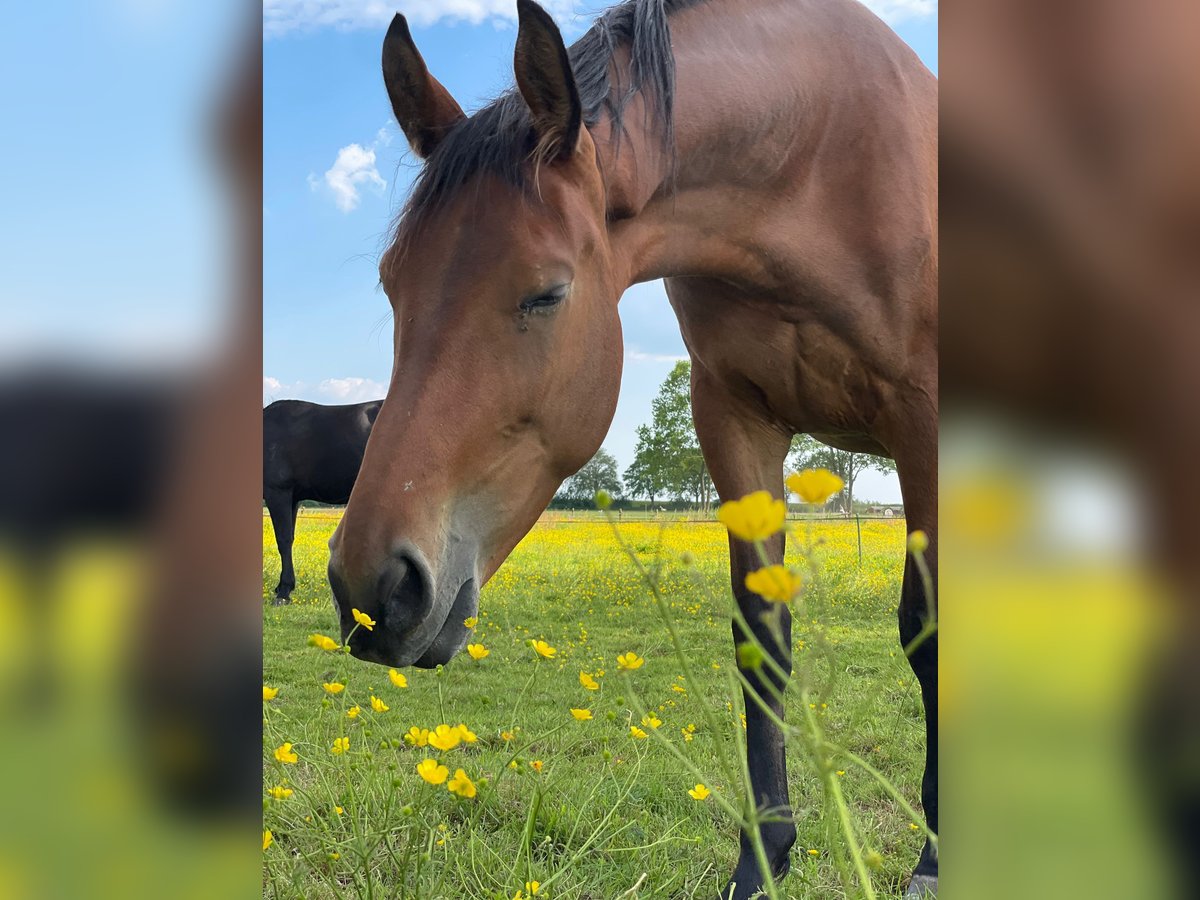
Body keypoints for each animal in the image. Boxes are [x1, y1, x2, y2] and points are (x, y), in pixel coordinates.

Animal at [326, 3, 936, 897]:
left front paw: (934, 858)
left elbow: (927, 631)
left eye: (546, 292)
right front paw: (762, 860)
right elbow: (761, 636)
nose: (372, 588)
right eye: (391, 284)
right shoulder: (734, 420)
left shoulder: (924, 422)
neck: (822, 155)